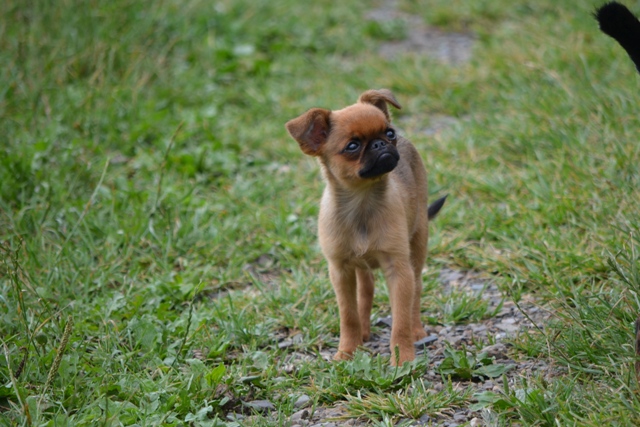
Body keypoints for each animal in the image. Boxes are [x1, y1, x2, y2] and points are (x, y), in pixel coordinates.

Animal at [286, 88, 444, 366]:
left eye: (389, 133)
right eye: (352, 146)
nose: (381, 144)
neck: (363, 201)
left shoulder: (399, 270)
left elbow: (400, 319)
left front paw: (402, 358)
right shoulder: (340, 271)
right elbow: (348, 315)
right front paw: (347, 351)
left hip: (417, 243)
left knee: (416, 291)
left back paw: (417, 330)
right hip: (360, 265)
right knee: (366, 290)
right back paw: (364, 332)